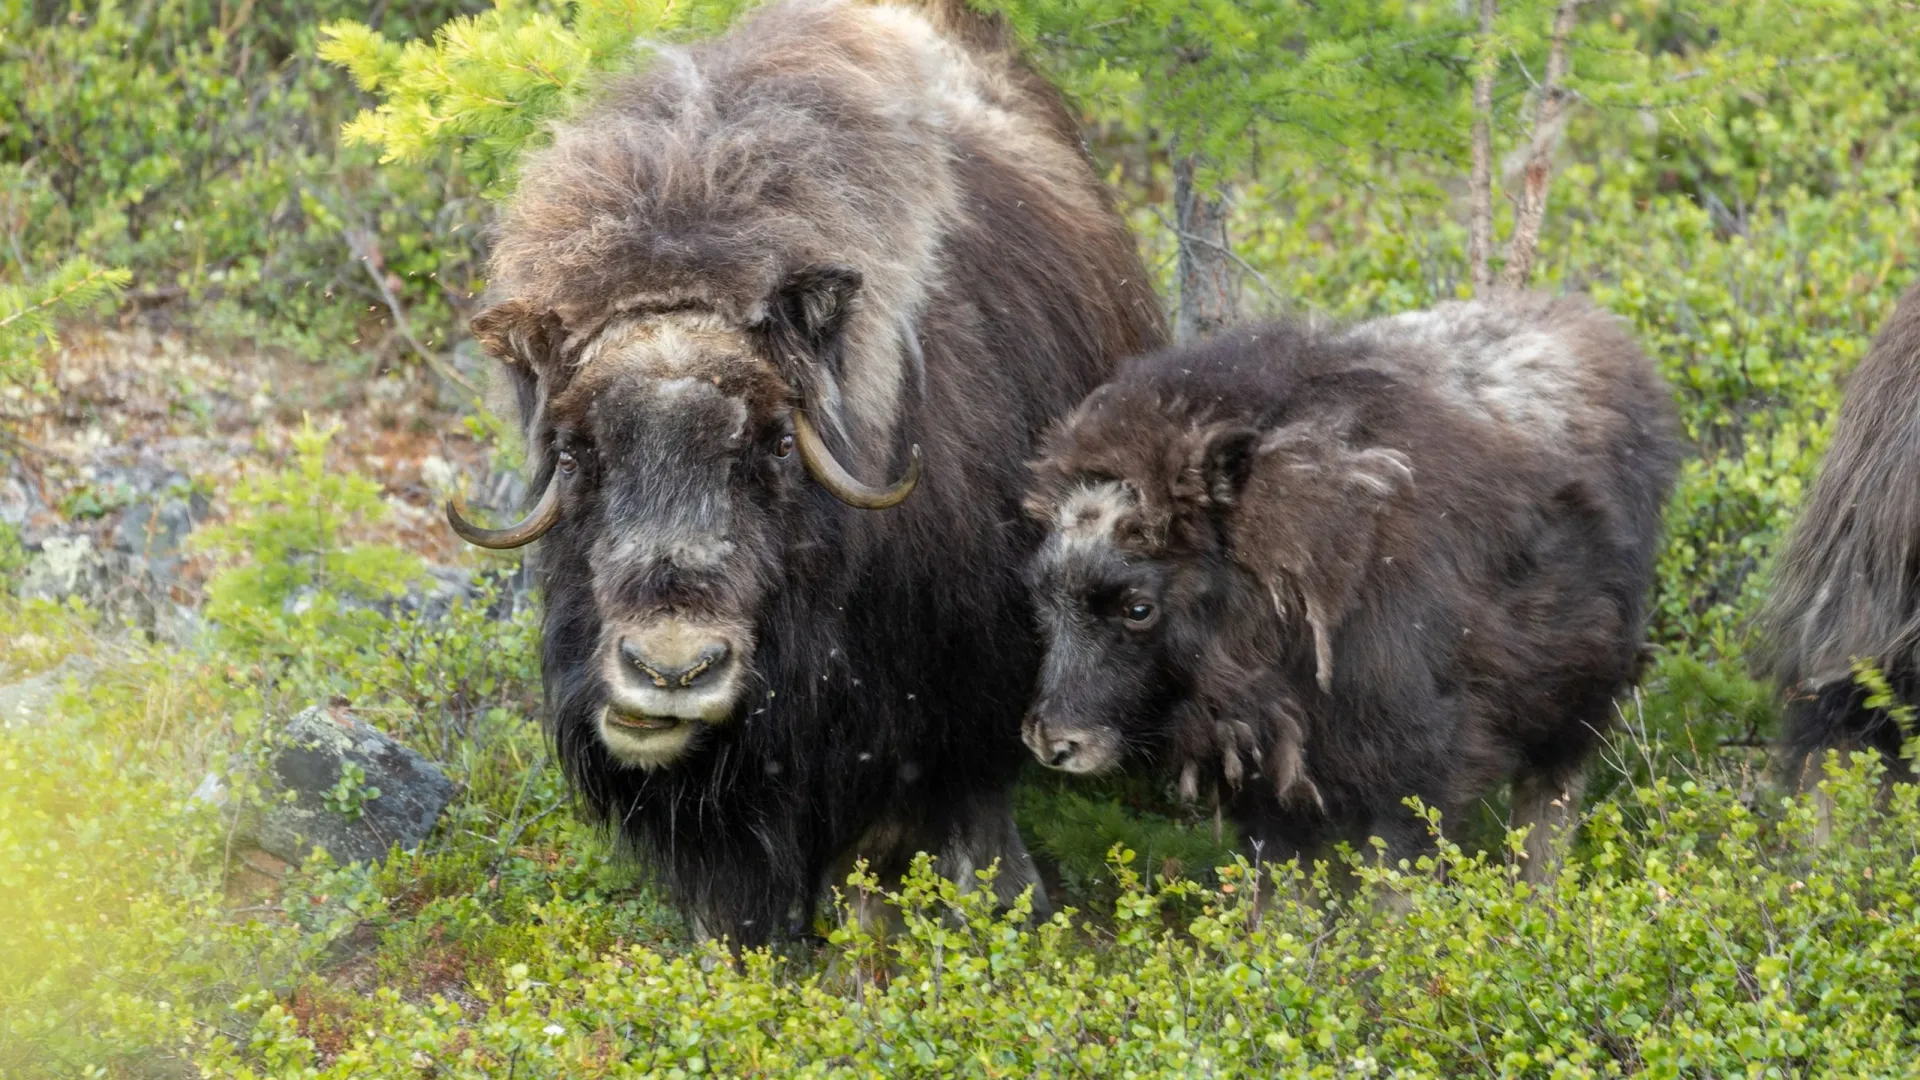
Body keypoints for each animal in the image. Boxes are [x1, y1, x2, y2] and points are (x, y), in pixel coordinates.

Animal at [1029, 294, 1674, 876]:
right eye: (1044, 593)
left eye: (1138, 608)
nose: (1053, 743)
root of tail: (1607, 337)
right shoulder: (1278, 792)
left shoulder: (1415, 770)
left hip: (1575, 705)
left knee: (1547, 811)